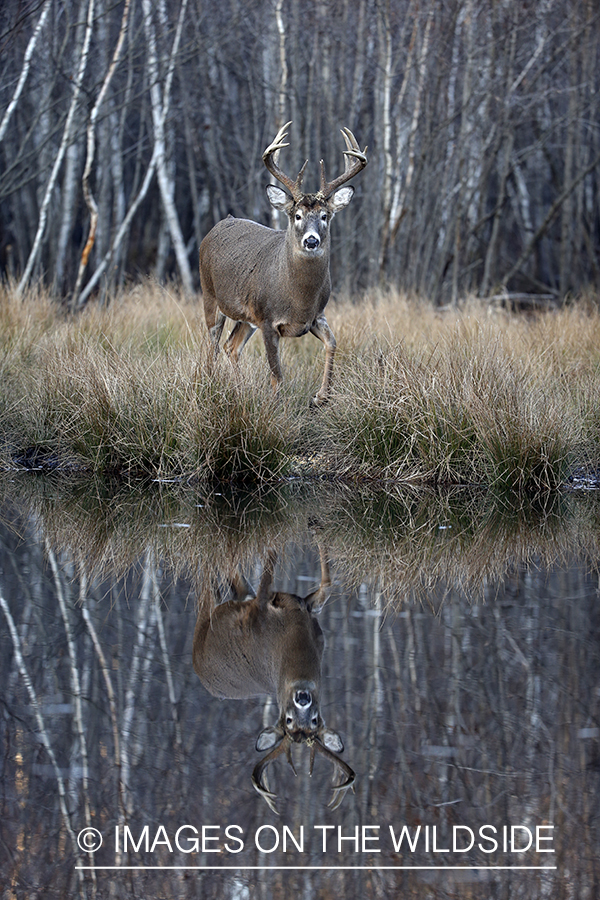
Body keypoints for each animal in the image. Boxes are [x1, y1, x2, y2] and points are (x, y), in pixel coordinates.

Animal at [192, 544, 354, 812]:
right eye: (288, 720)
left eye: (314, 722)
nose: (302, 698)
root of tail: (197, 666)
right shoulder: (270, 607)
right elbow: (279, 564)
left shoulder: (297, 607)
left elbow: (321, 580)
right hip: (212, 615)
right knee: (215, 576)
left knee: (227, 581)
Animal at [198, 122, 366, 408]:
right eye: (297, 215)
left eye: (324, 216)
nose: (311, 240)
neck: (298, 297)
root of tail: (219, 224)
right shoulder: (267, 319)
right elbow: (277, 373)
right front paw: (276, 408)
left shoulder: (316, 316)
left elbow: (332, 343)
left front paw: (320, 396)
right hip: (210, 296)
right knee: (212, 347)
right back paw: (211, 387)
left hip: (247, 316)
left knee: (231, 347)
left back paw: (240, 392)